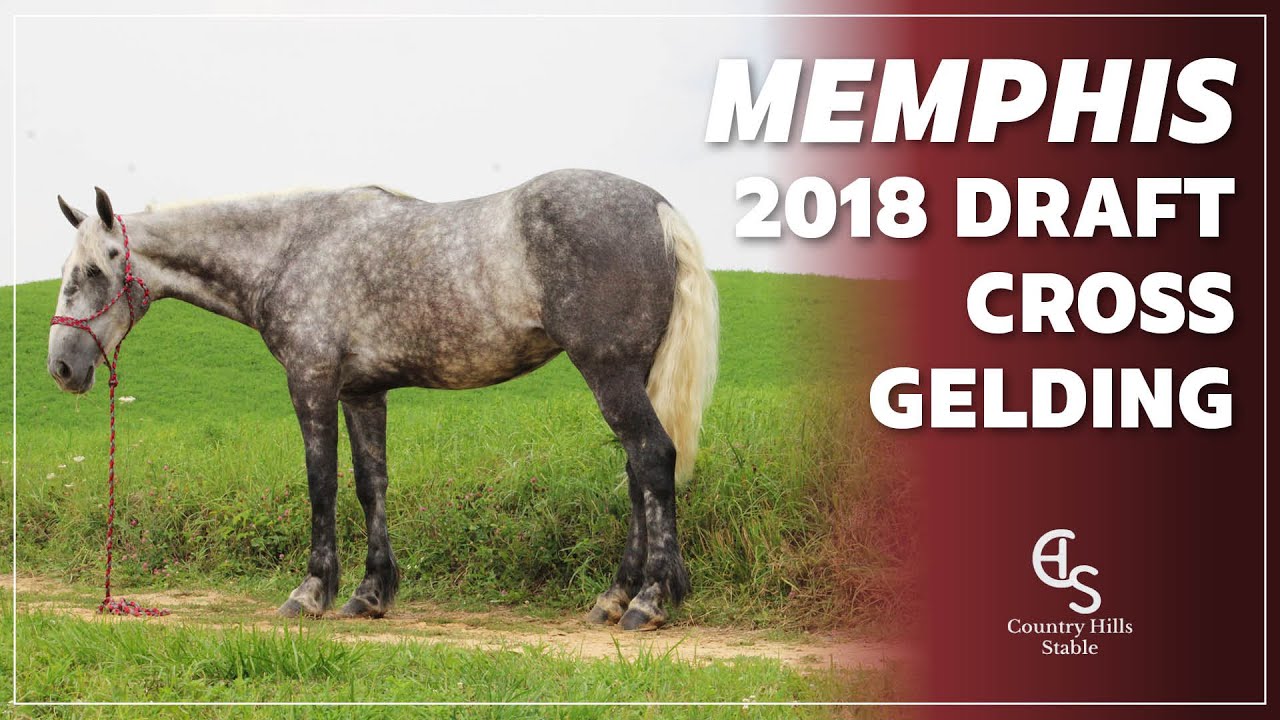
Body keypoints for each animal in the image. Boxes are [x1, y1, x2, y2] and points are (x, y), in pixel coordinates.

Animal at [46, 170, 718, 631]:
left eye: (94, 271)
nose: (62, 367)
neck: (290, 248)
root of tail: (657, 207)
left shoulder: (311, 382)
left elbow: (321, 481)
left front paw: (309, 593)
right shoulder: (362, 393)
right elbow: (372, 484)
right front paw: (369, 594)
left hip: (609, 371)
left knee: (653, 458)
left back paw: (650, 601)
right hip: (629, 376)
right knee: (637, 473)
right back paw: (613, 598)